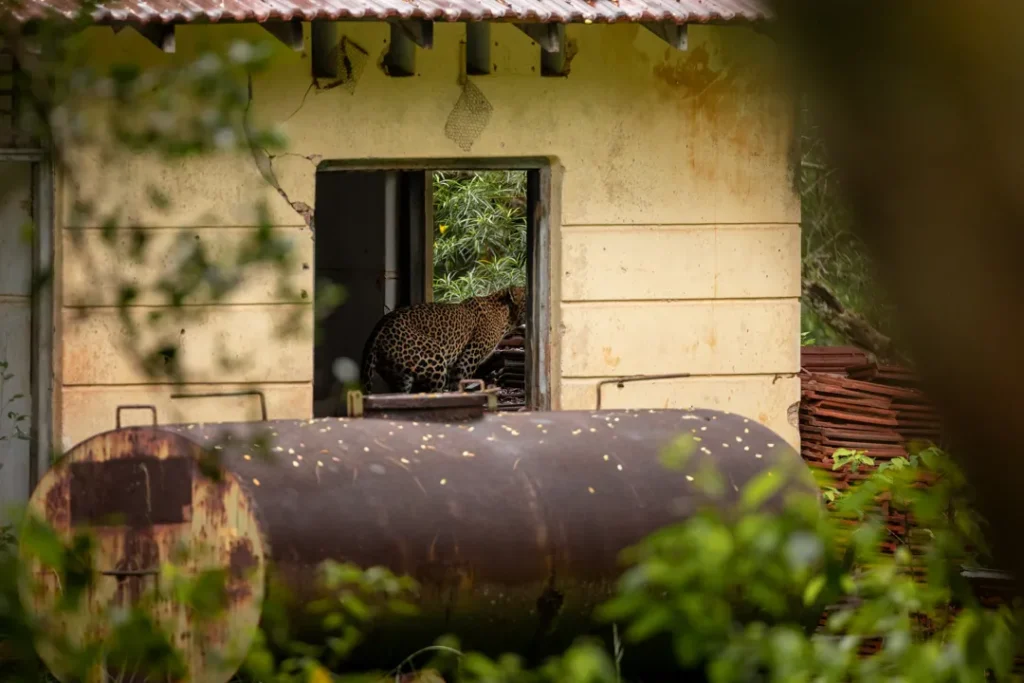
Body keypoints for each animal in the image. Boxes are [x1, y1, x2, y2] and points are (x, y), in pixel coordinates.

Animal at [359, 286, 526, 394]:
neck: (506, 315)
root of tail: (378, 332)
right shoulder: (468, 358)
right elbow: (458, 382)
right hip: (434, 362)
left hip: (399, 377)